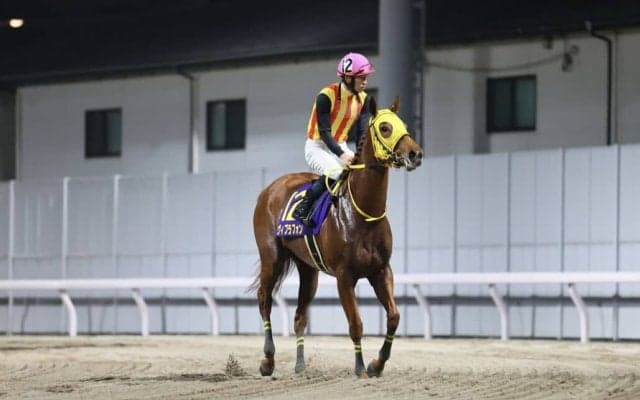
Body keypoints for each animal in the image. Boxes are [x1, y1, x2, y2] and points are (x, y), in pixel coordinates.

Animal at [251, 96, 423, 378]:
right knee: (264, 299)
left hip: (309, 270)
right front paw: (361, 368)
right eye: (385, 127)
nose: (415, 154)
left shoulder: (381, 270)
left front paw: (377, 364)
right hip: (272, 257)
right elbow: (356, 323)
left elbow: (394, 316)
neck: (362, 213)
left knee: (300, 315)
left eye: (404, 125)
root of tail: (269, 190)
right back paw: (268, 360)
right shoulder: (345, 276)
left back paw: (300, 365)